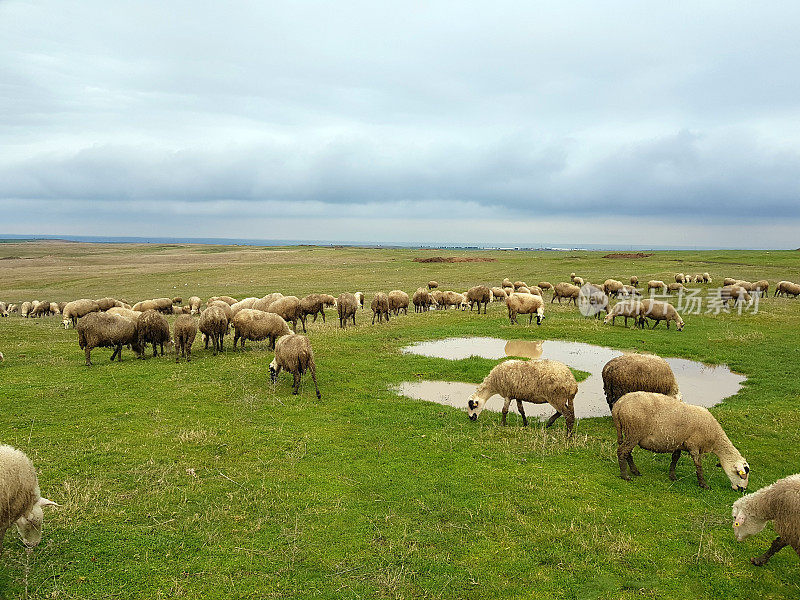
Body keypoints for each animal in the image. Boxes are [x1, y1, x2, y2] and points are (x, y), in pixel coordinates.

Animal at [612, 392, 752, 490]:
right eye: (741, 474)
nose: (742, 489)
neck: (715, 438)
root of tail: (618, 405)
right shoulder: (694, 445)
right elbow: (698, 465)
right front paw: (703, 485)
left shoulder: (679, 442)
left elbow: (675, 458)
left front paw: (672, 476)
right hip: (634, 431)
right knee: (622, 451)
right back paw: (625, 476)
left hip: (629, 432)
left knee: (627, 452)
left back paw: (635, 471)